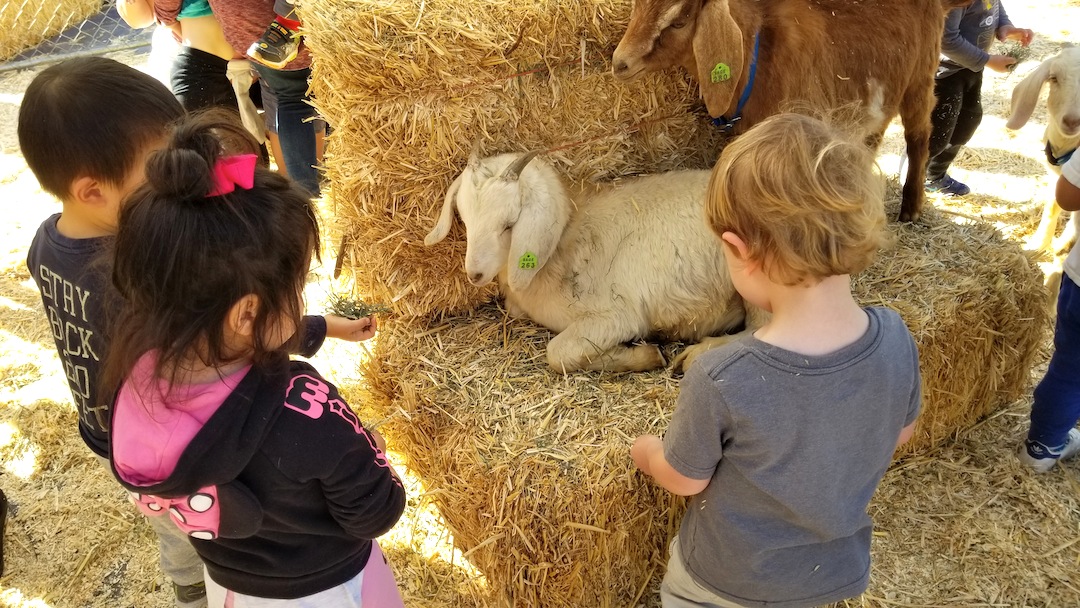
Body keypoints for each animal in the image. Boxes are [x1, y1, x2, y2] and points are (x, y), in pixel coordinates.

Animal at [421, 150, 760, 373]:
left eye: (509, 224)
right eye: (464, 217)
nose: (475, 274)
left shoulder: (617, 315)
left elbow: (558, 353)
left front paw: (648, 355)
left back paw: (694, 356)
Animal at [613, 0, 976, 221]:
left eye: (678, 21)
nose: (620, 63)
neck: (756, 49)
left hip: (920, 78)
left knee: (919, 137)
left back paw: (911, 206)